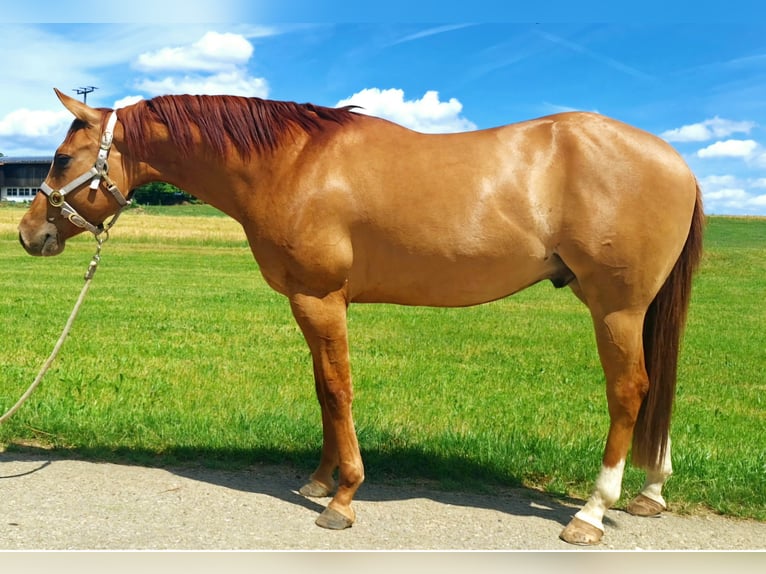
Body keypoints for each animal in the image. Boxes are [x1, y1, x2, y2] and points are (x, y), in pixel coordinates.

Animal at [18, 88, 704, 546]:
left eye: (59, 158)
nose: (28, 235)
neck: (293, 162)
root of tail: (677, 162)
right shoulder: (309, 302)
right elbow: (323, 390)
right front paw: (319, 482)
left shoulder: (321, 298)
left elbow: (338, 388)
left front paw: (343, 498)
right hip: (631, 309)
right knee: (659, 388)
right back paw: (651, 492)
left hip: (616, 308)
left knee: (629, 391)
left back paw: (591, 512)